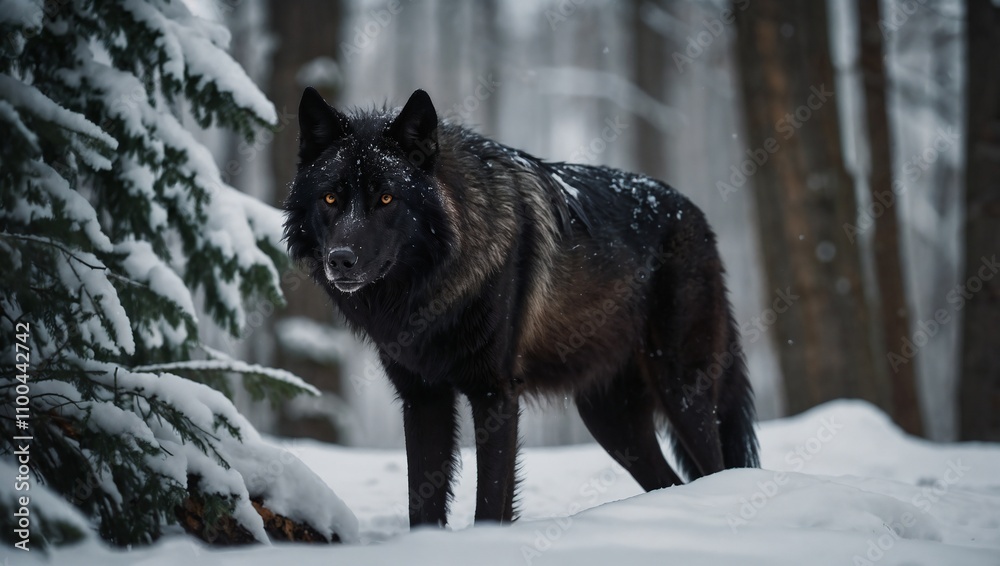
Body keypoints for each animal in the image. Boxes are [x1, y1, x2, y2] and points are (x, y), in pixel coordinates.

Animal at [284, 87, 759, 528]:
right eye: (330, 199)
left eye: (386, 199)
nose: (340, 259)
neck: (424, 293)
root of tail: (697, 215)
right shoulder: (422, 398)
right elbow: (422, 503)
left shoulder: (495, 392)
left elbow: (492, 499)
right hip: (611, 422)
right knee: (672, 482)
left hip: (682, 392)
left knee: (716, 469)